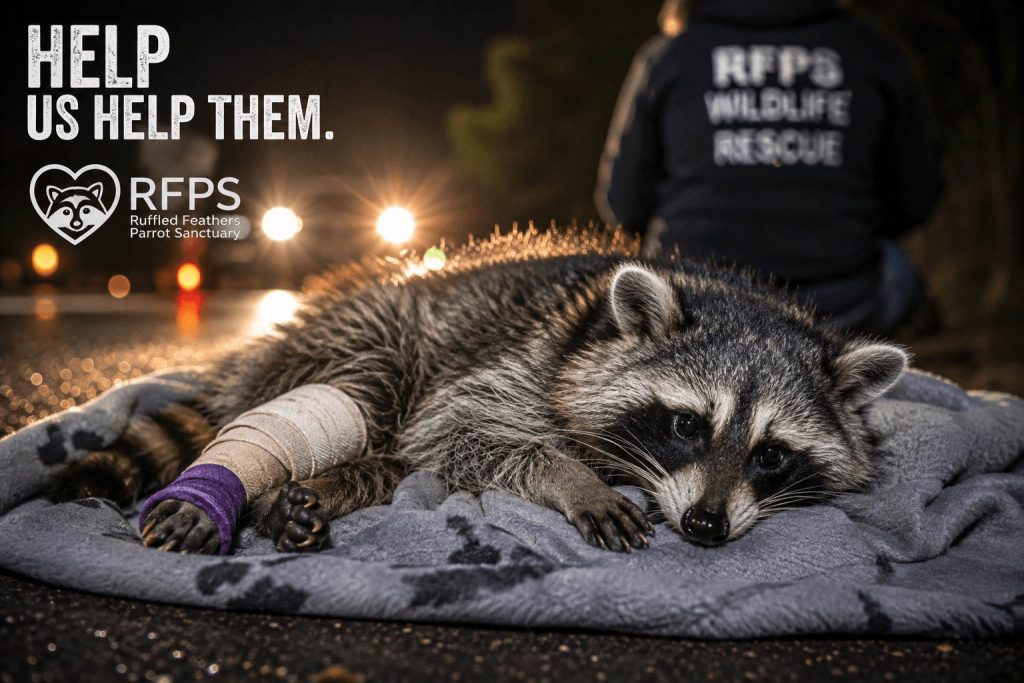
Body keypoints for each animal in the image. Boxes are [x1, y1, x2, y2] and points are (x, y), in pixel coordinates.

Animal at [46, 228, 907, 554]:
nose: (702, 524)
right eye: (688, 425)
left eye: (771, 454)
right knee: (379, 393)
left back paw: (335, 485)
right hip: (372, 332)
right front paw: (573, 477)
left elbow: (444, 439)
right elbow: (463, 429)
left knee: (396, 453)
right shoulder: (518, 361)